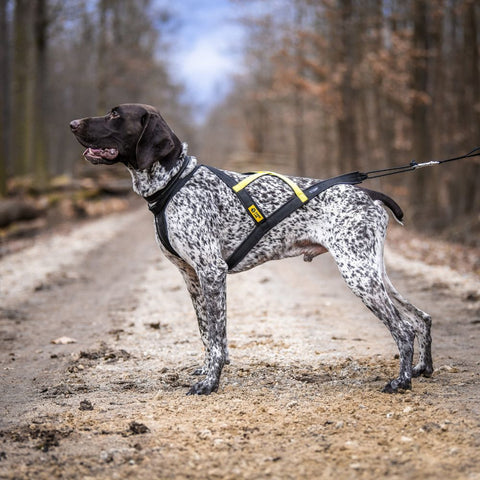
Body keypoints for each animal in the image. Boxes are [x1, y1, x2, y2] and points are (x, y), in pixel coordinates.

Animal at [69, 104, 434, 394]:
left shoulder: (211, 271)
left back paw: (401, 381)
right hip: (373, 272)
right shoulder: (192, 277)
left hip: (358, 274)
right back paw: (423, 368)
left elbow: (216, 338)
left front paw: (210, 383)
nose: (72, 123)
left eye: (115, 115)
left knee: (403, 329)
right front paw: (208, 370)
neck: (173, 183)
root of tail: (368, 193)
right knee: (422, 318)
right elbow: (209, 334)